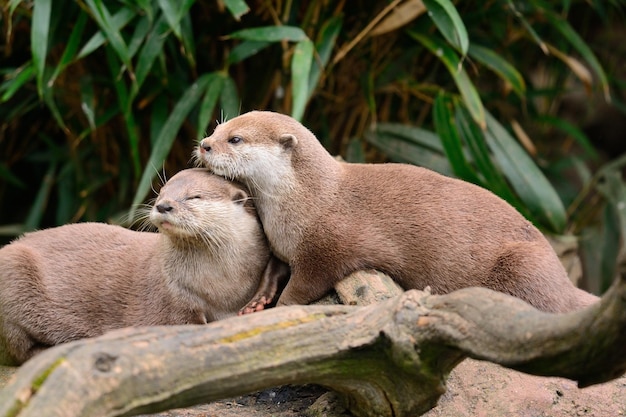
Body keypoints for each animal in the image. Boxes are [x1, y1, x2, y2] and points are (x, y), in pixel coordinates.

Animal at [0, 167, 288, 362]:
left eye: (193, 197)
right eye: (161, 193)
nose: (163, 206)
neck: (221, 286)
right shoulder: (172, 299)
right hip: (13, 277)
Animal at [194, 110, 596, 312]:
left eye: (235, 139)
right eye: (218, 127)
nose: (204, 144)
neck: (305, 203)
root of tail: (564, 280)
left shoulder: (327, 247)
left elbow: (306, 283)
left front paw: (282, 306)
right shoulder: (282, 244)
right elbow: (273, 270)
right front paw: (258, 300)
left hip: (524, 263)